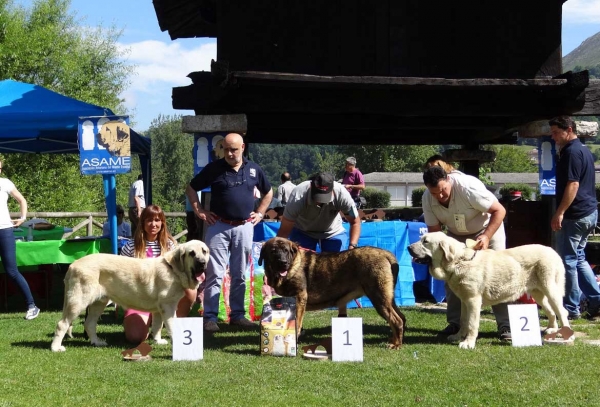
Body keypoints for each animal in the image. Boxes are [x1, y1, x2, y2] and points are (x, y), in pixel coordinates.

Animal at [50, 241, 209, 352]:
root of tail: (73, 265)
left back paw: (97, 342)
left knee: (89, 323)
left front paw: (158, 341)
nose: (202, 263)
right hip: (78, 301)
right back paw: (56, 347)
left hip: (98, 303)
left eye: (204, 251)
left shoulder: (159, 309)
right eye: (191, 253)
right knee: (62, 324)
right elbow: (172, 325)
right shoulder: (168, 306)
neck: (173, 269)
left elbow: (157, 326)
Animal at [258, 237, 406, 350]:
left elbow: (297, 322)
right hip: (388, 298)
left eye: (286, 251)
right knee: (401, 317)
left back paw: (396, 344)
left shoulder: (300, 298)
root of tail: (386, 254)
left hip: (379, 297)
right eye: (273, 251)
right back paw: (394, 339)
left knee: (396, 320)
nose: (283, 262)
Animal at [408, 233, 572, 350]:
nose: (408, 247)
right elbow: (463, 320)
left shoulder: (473, 300)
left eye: (425, 241)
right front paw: (458, 336)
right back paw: (551, 329)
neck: (459, 262)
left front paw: (468, 343)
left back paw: (567, 336)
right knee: (551, 310)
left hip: (550, 288)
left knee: (562, 311)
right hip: (538, 292)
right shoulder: (464, 301)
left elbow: (472, 323)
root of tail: (553, 250)